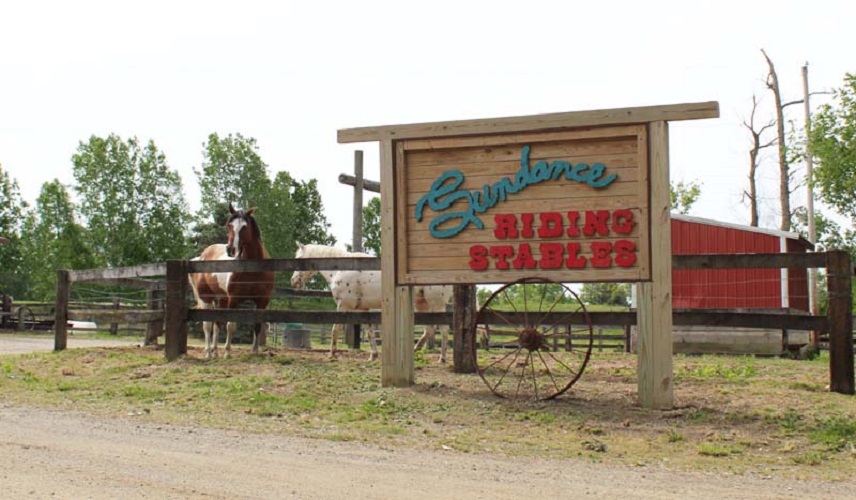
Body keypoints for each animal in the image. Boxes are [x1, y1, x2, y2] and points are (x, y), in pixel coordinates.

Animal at [189, 204, 272, 360]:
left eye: (244, 227)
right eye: (229, 225)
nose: (231, 249)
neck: (253, 268)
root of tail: (202, 256)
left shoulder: (262, 301)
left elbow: (257, 325)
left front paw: (255, 351)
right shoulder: (234, 299)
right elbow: (231, 326)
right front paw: (227, 352)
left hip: (221, 299)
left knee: (216, 324)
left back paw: (215, 351)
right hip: (206, 298)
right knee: (207, 325)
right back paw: (208, 352)